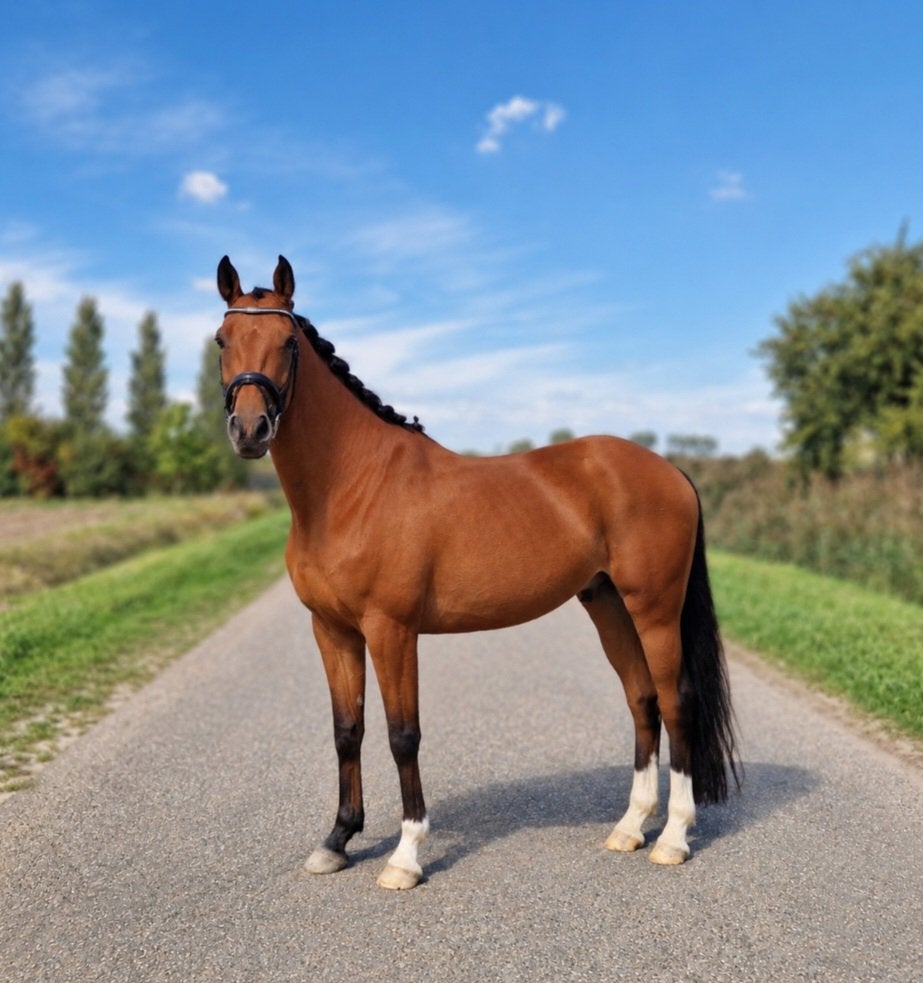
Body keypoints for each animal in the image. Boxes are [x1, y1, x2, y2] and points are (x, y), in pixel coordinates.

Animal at [215, 255, 739, 890]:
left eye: (288, 343)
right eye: (222, 340)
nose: (250, 430)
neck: (351, 486)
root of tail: (672, 471)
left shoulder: (391, 630)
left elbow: (402, 735)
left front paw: (406, 855)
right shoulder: (331, 629)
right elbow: (347, 730)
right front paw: (337, 841)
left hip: (654, 608)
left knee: (676, 700)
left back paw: (673, 838)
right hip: (607, 603)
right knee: (643, 700)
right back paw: (630, 827)